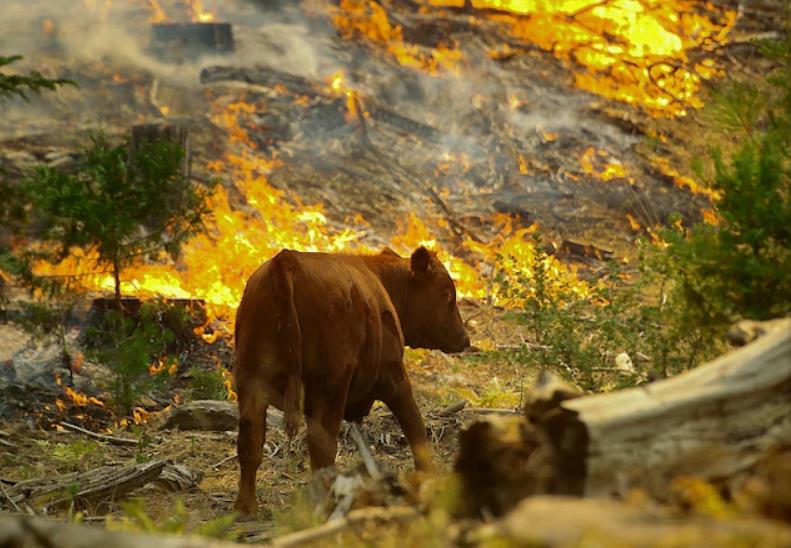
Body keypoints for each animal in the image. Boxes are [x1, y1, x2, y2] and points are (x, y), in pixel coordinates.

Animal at [232, 246, 468, 516]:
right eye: (446, 292)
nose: (465, 338)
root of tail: (286, 259)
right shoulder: (393, 376)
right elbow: (415, 427)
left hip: (252, 381)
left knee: (250, 440)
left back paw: (246, 506)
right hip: (331, 386)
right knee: (322, 448)